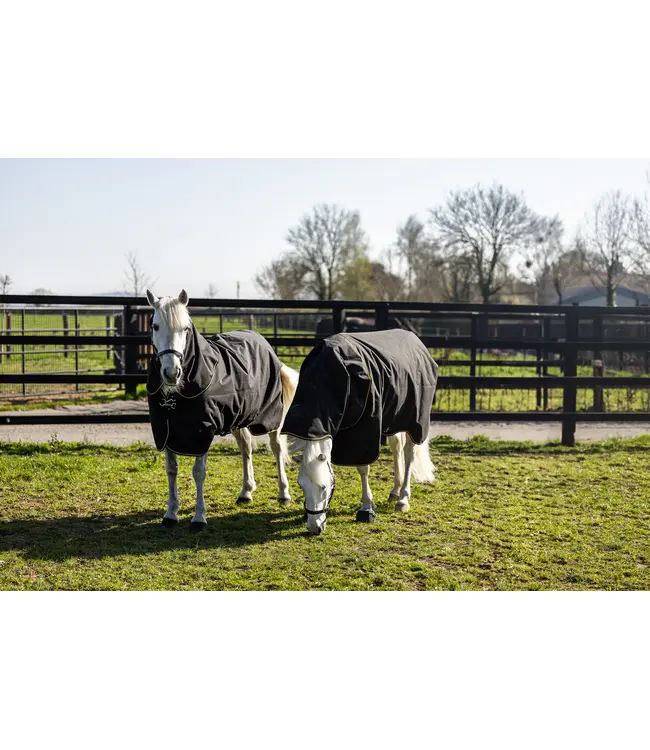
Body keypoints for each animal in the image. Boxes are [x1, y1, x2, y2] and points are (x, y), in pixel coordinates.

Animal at [145, 289, 300, 531]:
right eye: (155, 326)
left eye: (186, 328)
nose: (171, 373)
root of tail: (263, 342)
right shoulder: (167, 431)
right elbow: (171, 470)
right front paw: (170, 514)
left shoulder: (203, 431)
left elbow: (198, 473)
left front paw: (199, 518)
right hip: (238, 417)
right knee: (246, 448)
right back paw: (246, 492)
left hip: (270, 417)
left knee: (276, 448)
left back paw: (283, 494)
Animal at [281, 328, 439, 535]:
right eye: (301, 486)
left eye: (324, 487)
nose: (314, 528)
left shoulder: (364, 433)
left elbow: (363, 468)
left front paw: (366, 507)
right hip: (393, 419)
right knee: (397, 448)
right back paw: (395, 491)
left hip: (414, 421)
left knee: (409, 454)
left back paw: (403, 498)